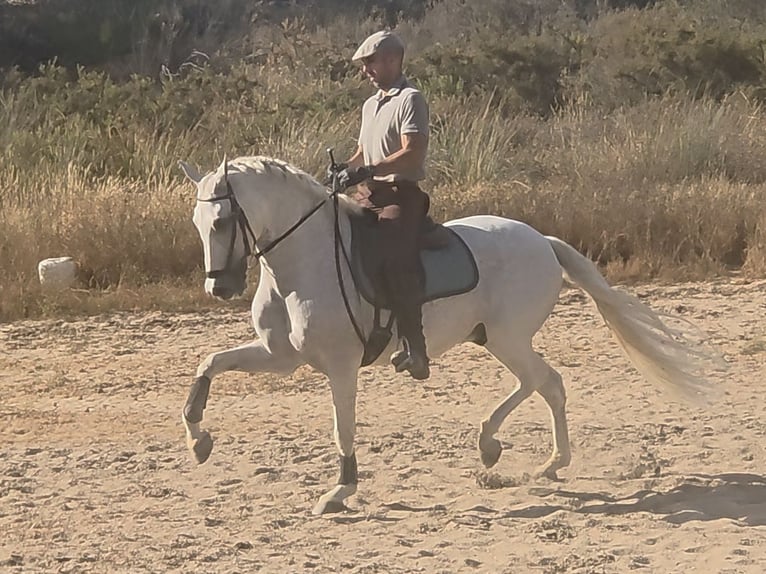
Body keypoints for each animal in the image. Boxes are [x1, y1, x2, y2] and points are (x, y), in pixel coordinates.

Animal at [179, 155, 721, 515]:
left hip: (507, 338)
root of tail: (542, 241)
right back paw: (523, 455)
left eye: (223, 220)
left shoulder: (340, 365)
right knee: (542, 385)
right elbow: (209, 363)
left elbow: (342, 428)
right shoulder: (280, 356)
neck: (303, 262)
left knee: (545, 382)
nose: (219, 287)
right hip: (496, 338)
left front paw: (339, 491)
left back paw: (519, 453)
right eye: (197, 222)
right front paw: (198, 439)